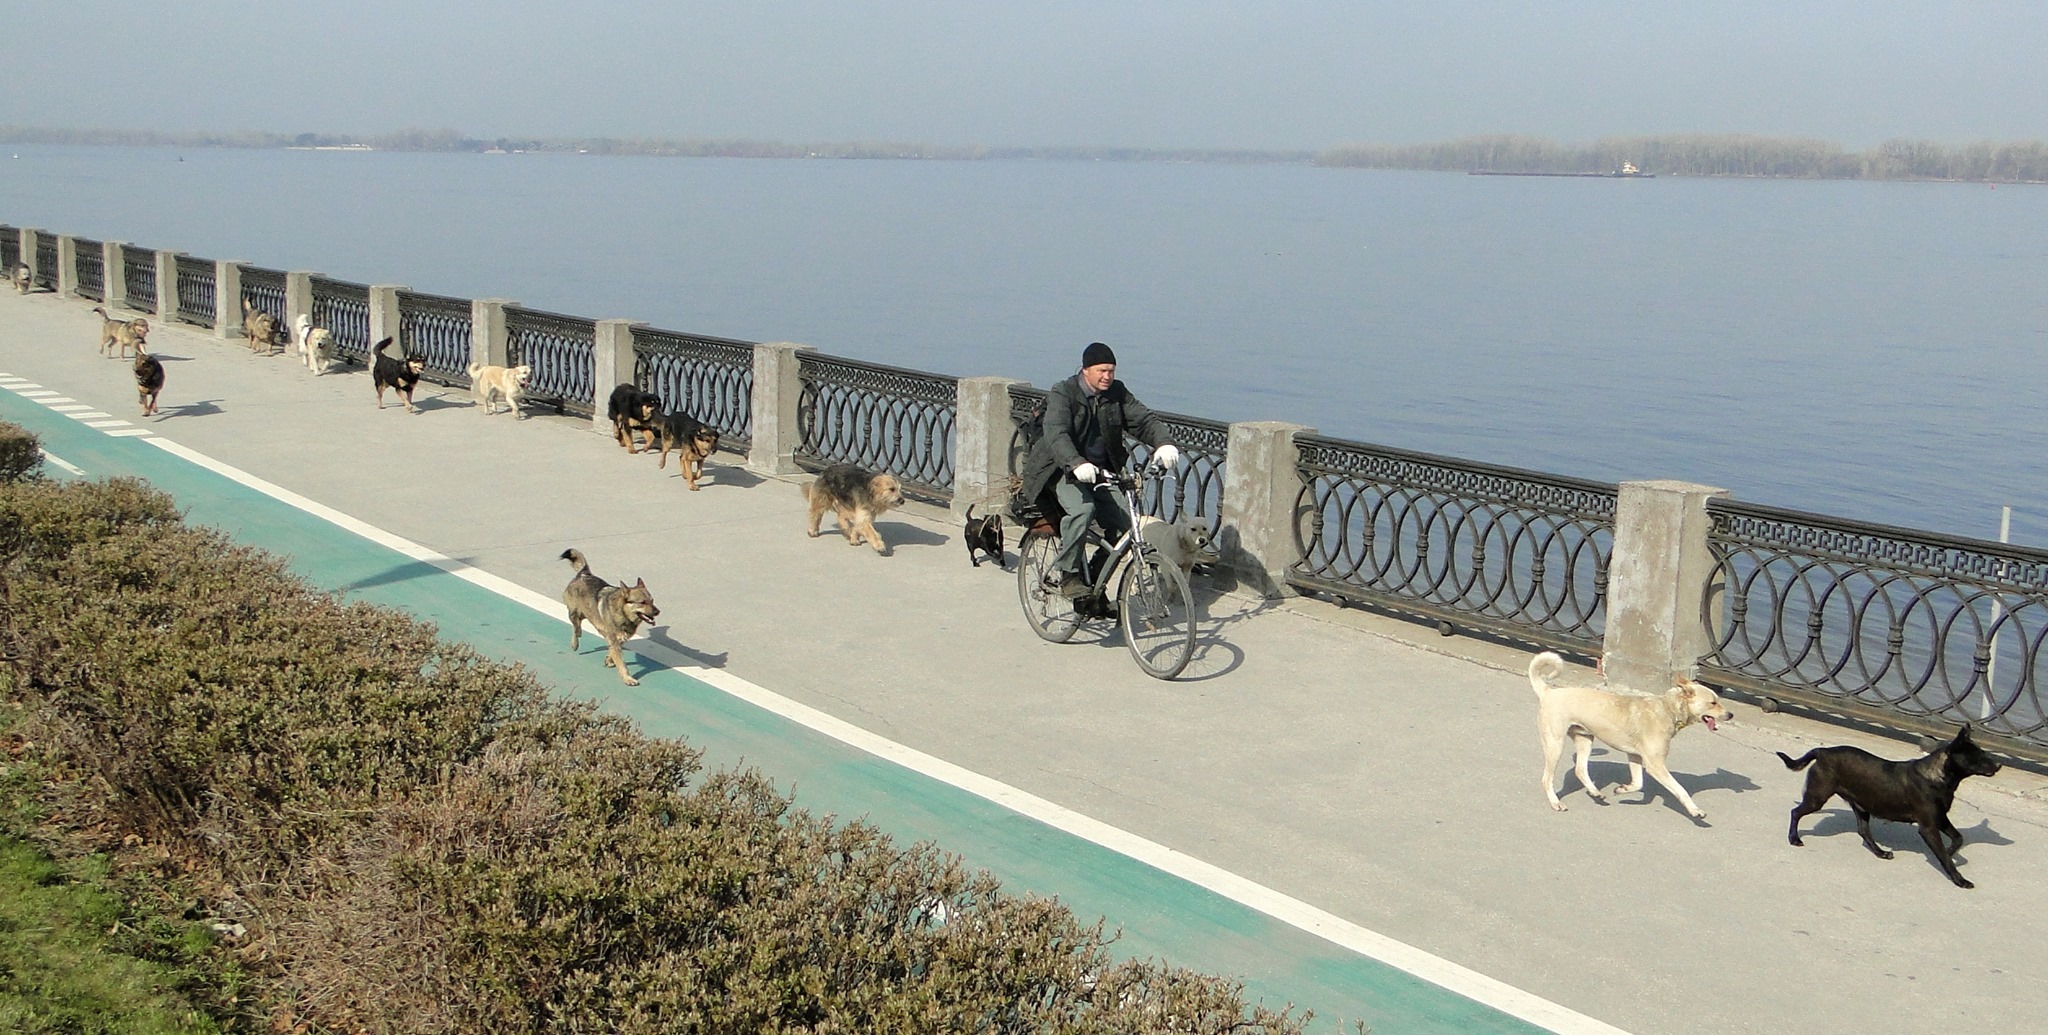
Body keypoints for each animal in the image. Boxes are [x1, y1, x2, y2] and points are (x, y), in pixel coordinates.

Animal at [557, 549, 659, 684]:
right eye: (642, 602)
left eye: (652, 601)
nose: (658, 612)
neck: (622, 612)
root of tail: (583, 574)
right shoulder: (615, 640)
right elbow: (622, 663)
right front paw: (628, 678)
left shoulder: (619, 639)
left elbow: (613, 651)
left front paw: (609, 660)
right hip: (574, 612)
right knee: (576, 626)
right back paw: (575, 642)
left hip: (588, 615)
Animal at [1540, 647, 1728, 819]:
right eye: (1713, 702)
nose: (1730, 715)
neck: (1667, 709)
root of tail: (1548, 691)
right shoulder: (1656, 765)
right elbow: (1680, 789)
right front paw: (1695, 810)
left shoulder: (1635, 756)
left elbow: (1638, 783)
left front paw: (1622, 789)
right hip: (1555, 744)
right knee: (1547, 779)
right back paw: (1556, 803)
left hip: (1584, 739)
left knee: (1580, 769)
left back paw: (1595, 792)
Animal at [1785, 721, 2007, 885]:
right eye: (1977, 756)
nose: (1999, 765)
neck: (1938, 778)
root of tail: (1822, 752)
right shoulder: (1928, 827)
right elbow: (1945, 857)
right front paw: (1959, 879)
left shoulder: (1940, 818)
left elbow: (1958, 838)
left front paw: (1952, 851)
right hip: (1817, 797)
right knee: (1795, 812)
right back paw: (1794, 839)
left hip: (1861, 806)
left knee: (1864, 832)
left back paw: (1881, 853)